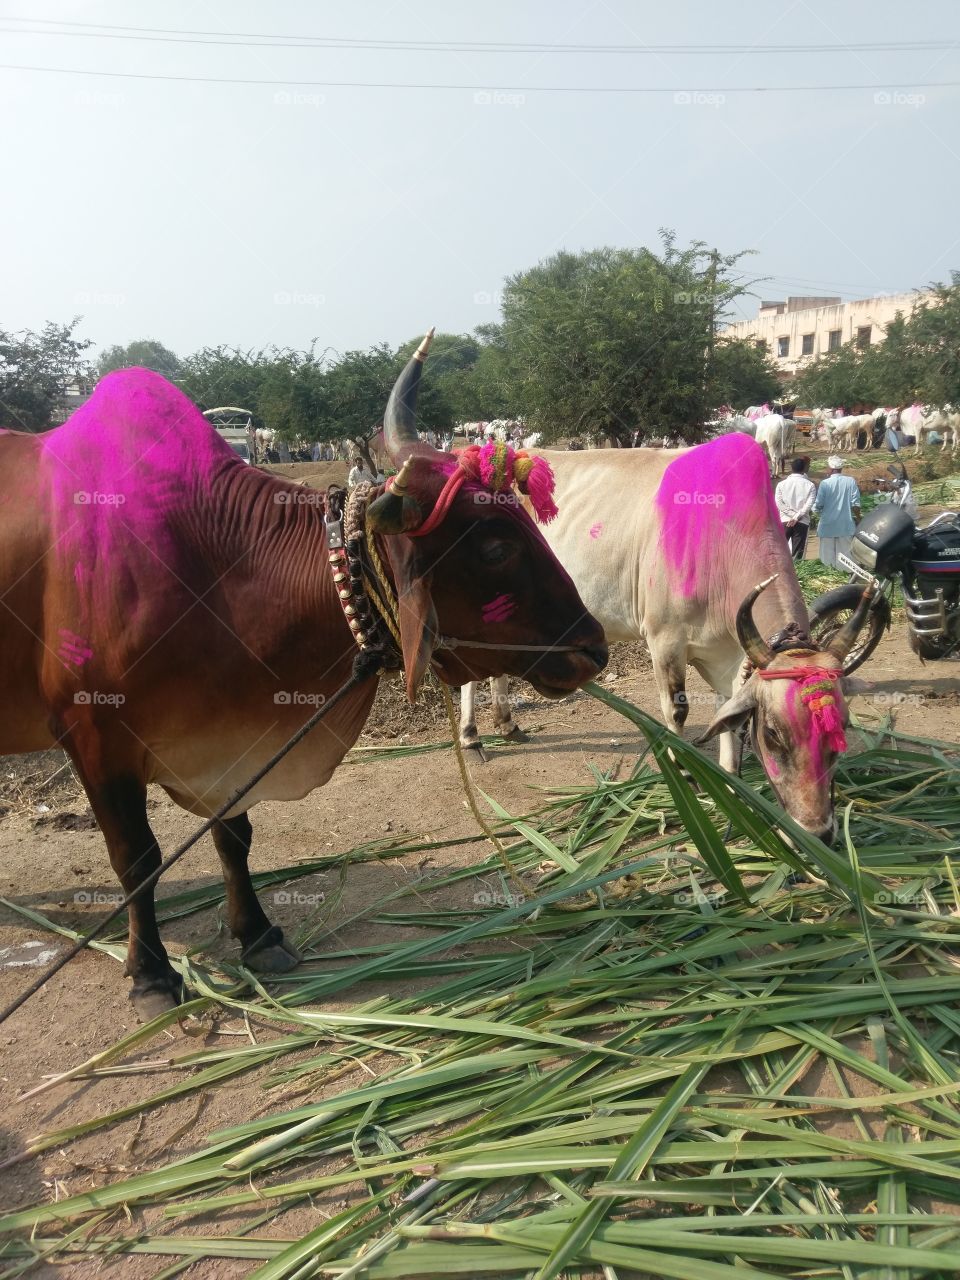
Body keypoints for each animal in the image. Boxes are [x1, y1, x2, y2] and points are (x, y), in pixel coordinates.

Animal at [0, 335, 601, 1013]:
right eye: (497, 546)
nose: (595, 648)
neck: (211, 565)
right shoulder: (95, 738)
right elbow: (136, 859)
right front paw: (151, 974)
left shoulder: (233, 740)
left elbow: (234, 837)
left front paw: (259, 936)